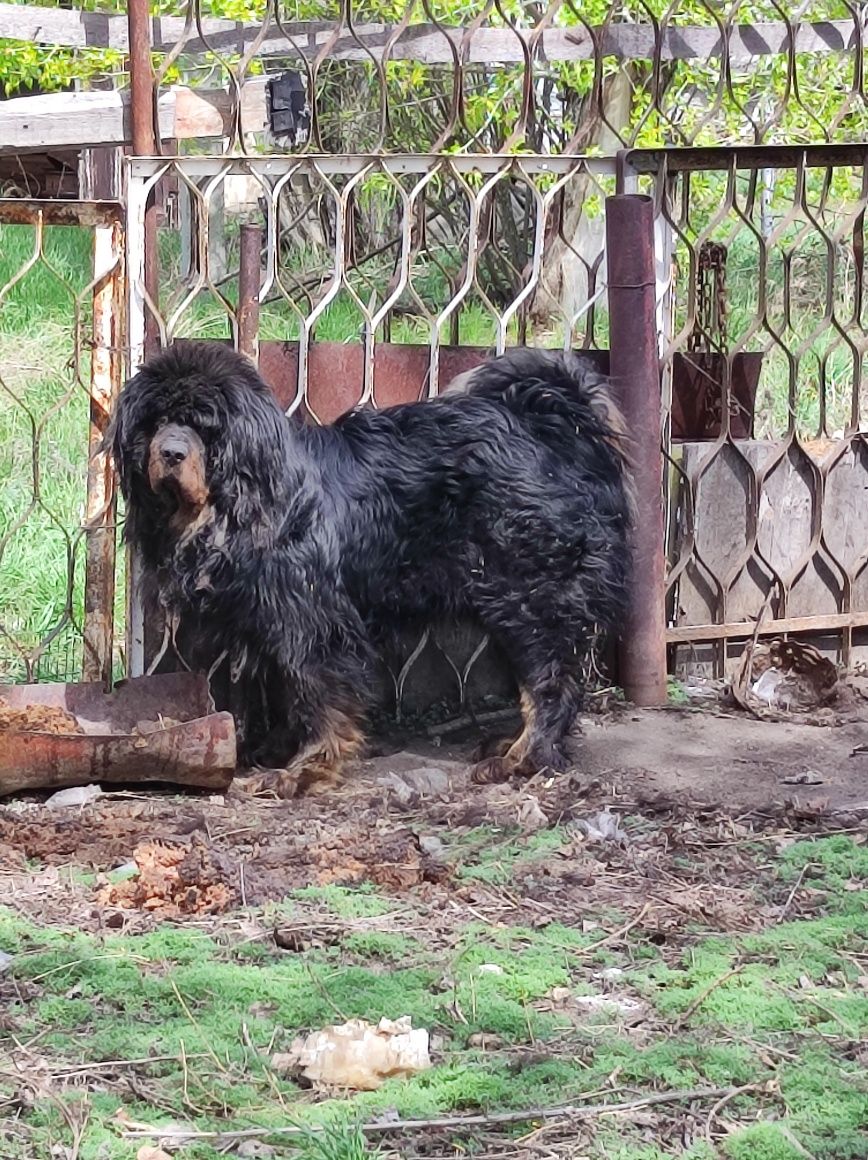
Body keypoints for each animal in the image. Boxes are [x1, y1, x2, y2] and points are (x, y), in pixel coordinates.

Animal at [108, 338, 631, 793]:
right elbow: (283, 690)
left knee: (551, 682)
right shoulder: (267, 620)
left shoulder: (314, 621)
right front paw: (277, 749)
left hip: (529, 597)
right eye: (155, 421)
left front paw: (307, 769)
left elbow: (319, 696)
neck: (239, 501)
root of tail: (554, 426)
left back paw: (526, 756)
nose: (171, 452)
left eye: (204, 425)